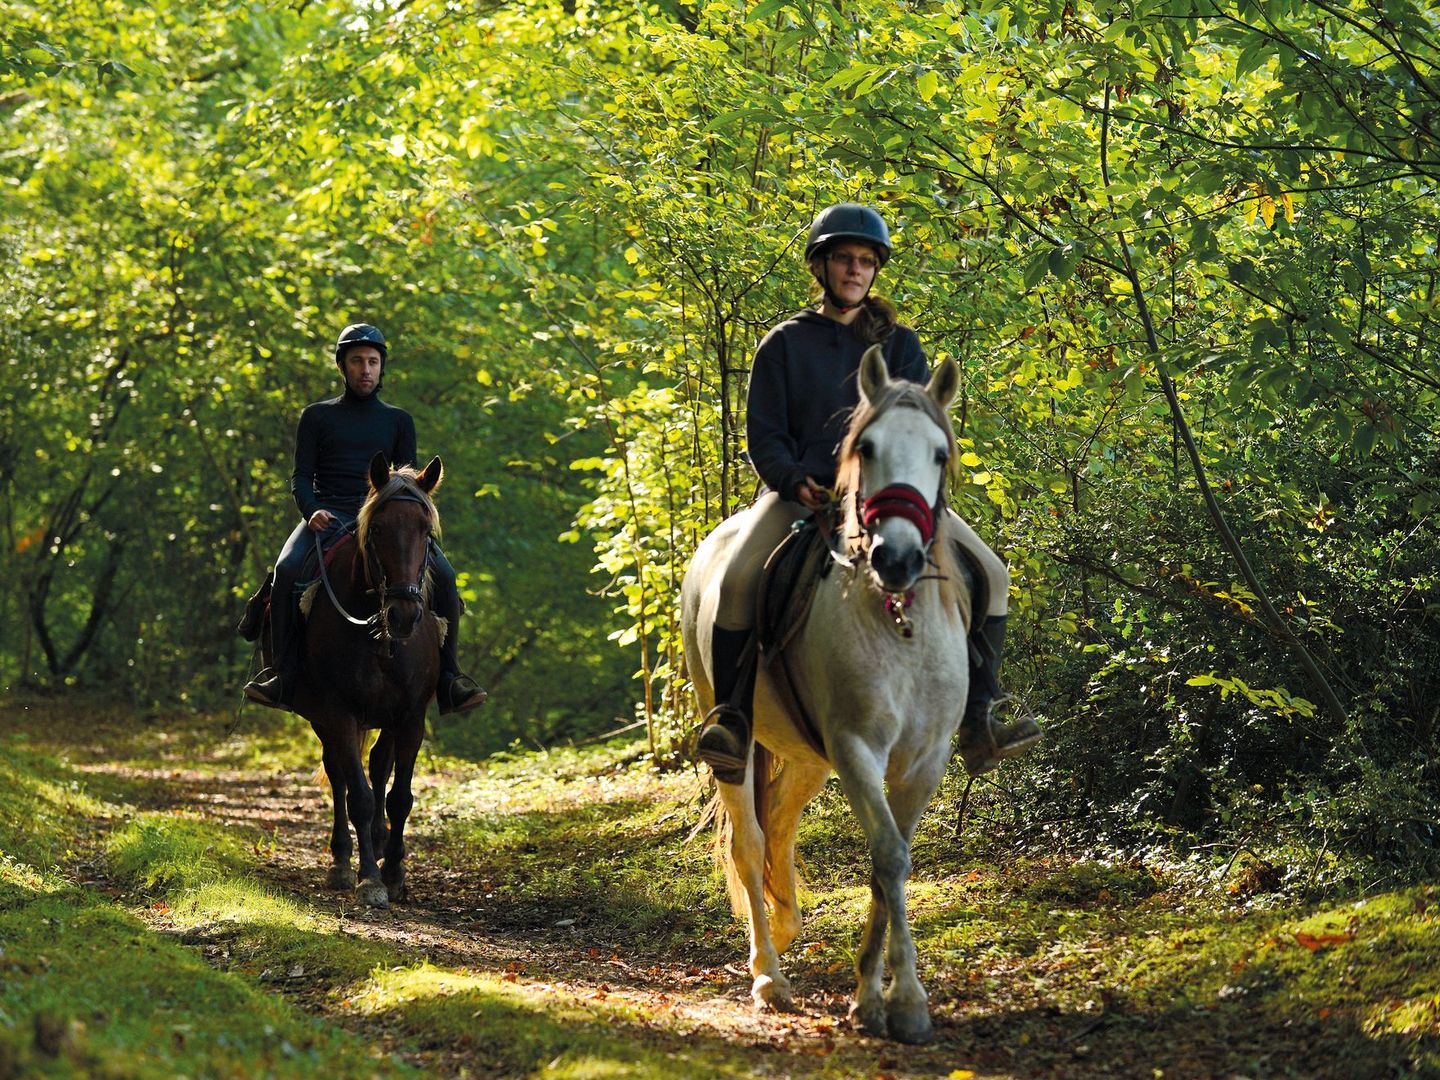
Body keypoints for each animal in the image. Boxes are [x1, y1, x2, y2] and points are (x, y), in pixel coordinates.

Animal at [268, 451, 446, 909]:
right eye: (378, 529)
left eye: (426, 531)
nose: (404, 615)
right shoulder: (339, 713)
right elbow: (360, 797)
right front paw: (369, 879)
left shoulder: (411, 717)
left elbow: (399, 796)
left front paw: (396, 872)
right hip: (324, 719)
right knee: (339, 776)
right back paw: (341, 861)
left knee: (379, 766)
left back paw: (381, 843)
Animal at [681, 347, 968, 1044]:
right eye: (865, 447)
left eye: (939, 453)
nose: (896, 558)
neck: (897, 620)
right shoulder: (858, 748)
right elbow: (887, 855)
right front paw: (896, 1001)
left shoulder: (924, 761)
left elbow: (889, 860)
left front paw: (879, 993)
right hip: (737, 743)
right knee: (750, 842)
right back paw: (768, 976)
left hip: (808, 755)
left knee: (780, 829)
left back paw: (786, 929)